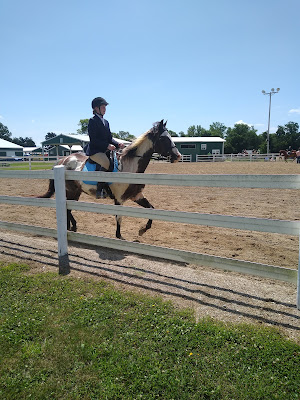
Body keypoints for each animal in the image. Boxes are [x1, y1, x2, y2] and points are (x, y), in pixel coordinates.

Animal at [38, 119, 182, 238]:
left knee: (68, 208)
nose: (178, 156)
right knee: (67, 208)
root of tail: (62, 160)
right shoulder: (119, 199)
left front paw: (143, 229)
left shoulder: (136, 196)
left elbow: (152, 209)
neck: (129, 167)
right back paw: (70, 226)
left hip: (76, 192)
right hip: (71, 191)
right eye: (163, 139)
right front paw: (119, 236)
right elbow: (119, 218)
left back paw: (71, 226)